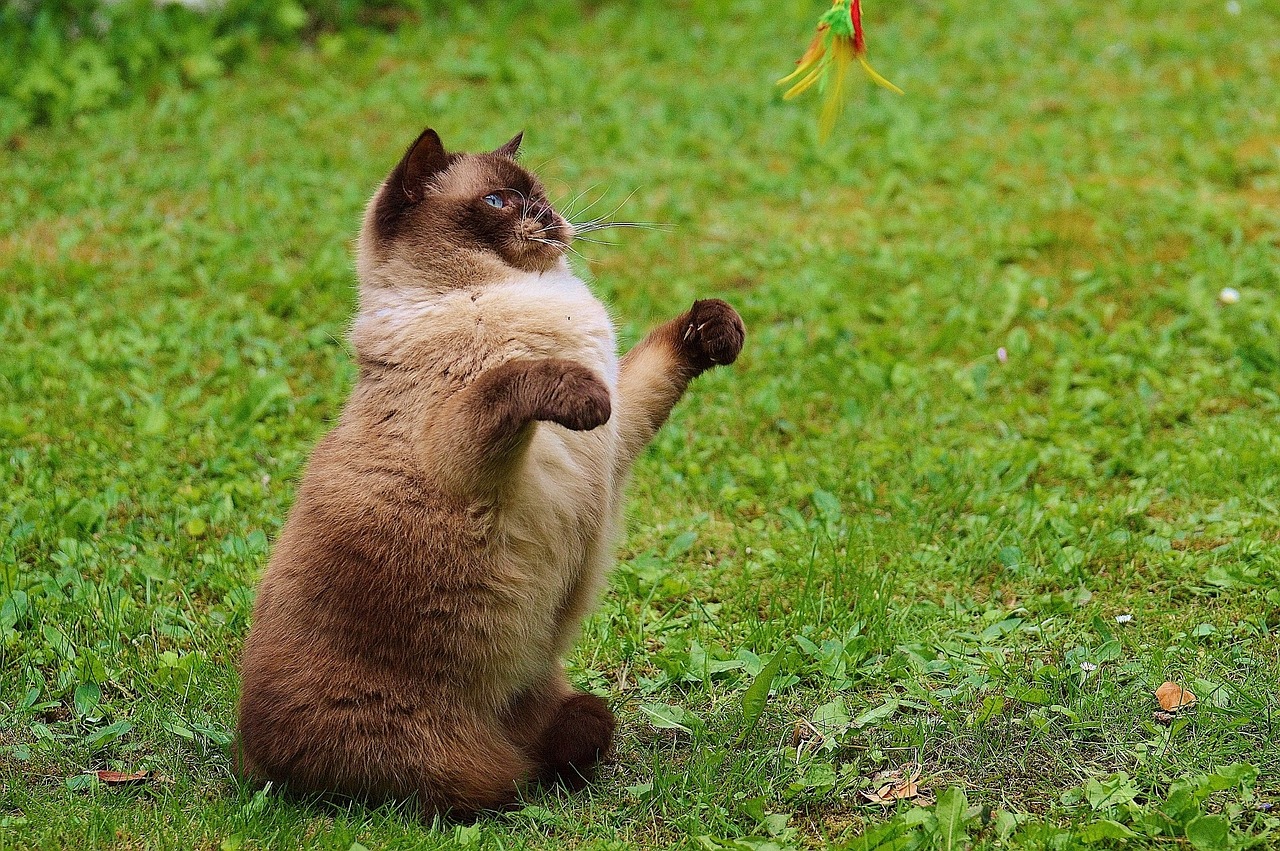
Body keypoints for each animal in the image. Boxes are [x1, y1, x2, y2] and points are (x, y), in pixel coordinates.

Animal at [235, 126, 747, 819]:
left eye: (539, 192)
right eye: (499, 201)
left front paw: (716, 327)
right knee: (489, 783)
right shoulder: (466, 447)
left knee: (585, 724)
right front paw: (571, 388)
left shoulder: (619, 431)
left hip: (549, 694)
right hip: (457, 768)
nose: (548, 218)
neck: (519, 293)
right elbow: (512, 381)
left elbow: (660, 360)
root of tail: (248, 756)